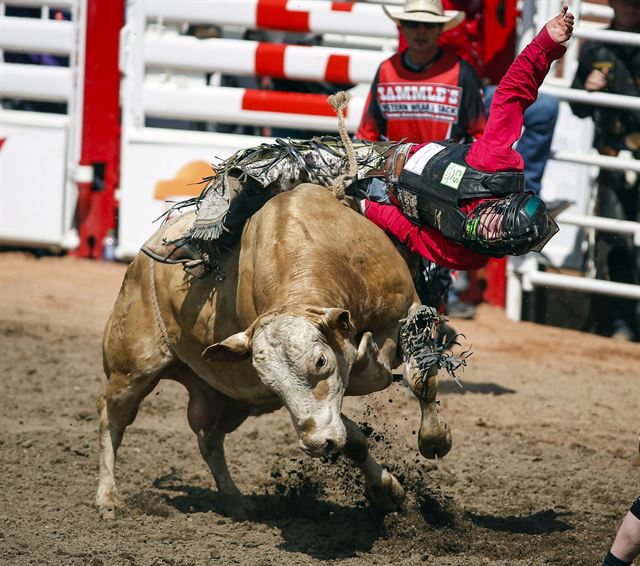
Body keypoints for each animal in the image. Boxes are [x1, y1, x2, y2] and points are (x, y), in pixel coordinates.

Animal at [97, 185, 452, 520]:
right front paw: (385, 490)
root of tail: (138, 263)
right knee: (111, 418)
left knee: (209, 439)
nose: (315, 445)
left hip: (230, 400)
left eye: (320, 361)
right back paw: (108, 497)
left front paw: (434, 441)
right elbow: (352, 438)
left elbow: (421, 382)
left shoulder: (409, 310)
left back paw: (235, 501)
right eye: (271, 383)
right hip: (132, 369)